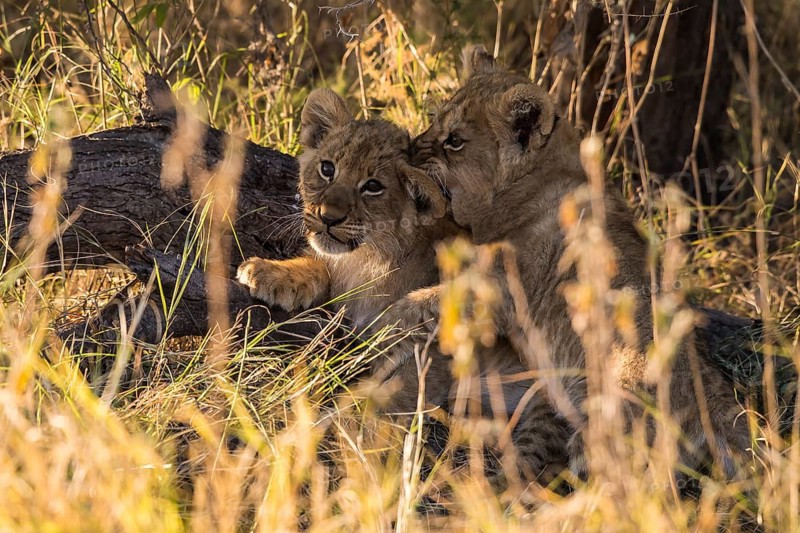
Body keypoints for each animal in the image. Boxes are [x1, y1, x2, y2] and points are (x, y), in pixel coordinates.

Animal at [236, 88, 571, 482]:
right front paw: (266, 272)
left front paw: (366, 439)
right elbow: (316, 267)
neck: (370, 259)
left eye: (373, 187)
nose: (328, 218)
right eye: (327, 168)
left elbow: (400, 392)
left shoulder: (440, 341)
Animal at [404, 45, 752, 478]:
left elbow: (434, 299)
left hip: (607, 431)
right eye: (435, 121)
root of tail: (714, 403)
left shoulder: (499, 288)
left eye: (454, 140)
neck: (533, 180)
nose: (410, 149)